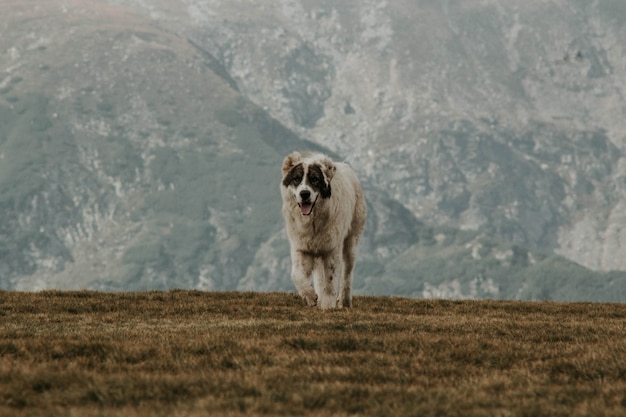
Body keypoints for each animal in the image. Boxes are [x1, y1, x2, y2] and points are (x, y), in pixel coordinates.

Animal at [280, 151, 366, 308]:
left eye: (315, 179)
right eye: (296, 178)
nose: (305, 193)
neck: (312, 221)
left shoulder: (332, 250)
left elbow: (330, 281)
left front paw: (328, 305)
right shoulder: (301, 248)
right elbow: (296, 274)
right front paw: (310, 297)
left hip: (351, 242)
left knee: (347, 273)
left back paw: (344, 301)